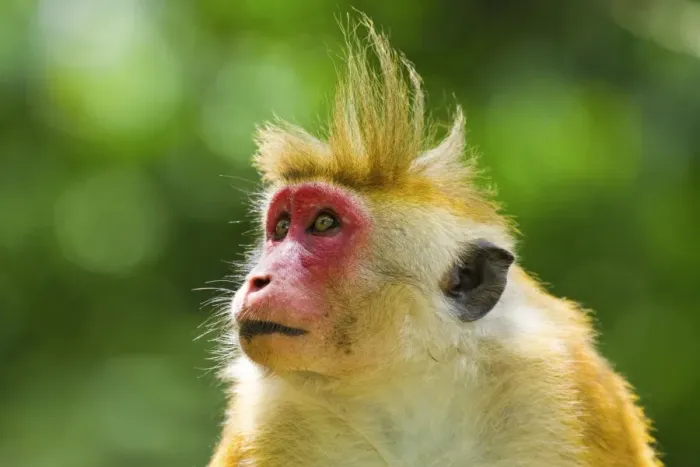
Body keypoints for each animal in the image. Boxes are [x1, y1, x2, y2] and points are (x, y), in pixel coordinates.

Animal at [207, 15, 662, 467]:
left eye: (323, 223)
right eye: (282, 227)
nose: (258, 279)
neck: (407, 386)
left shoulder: (558, 390)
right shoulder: (270, 417)